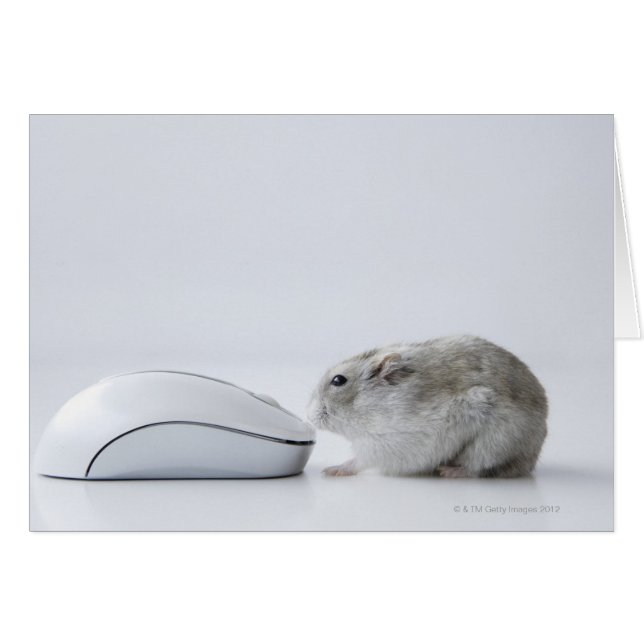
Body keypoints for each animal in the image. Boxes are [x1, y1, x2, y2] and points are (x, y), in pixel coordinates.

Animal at [307, 335, 548, 478]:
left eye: (338, 380)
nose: (308, 415)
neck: (371, 406)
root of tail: (531, 459)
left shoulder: (384, 444)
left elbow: (358, 460)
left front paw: (331, 470)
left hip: (493, 443)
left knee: (478, 467)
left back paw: (448, 471)